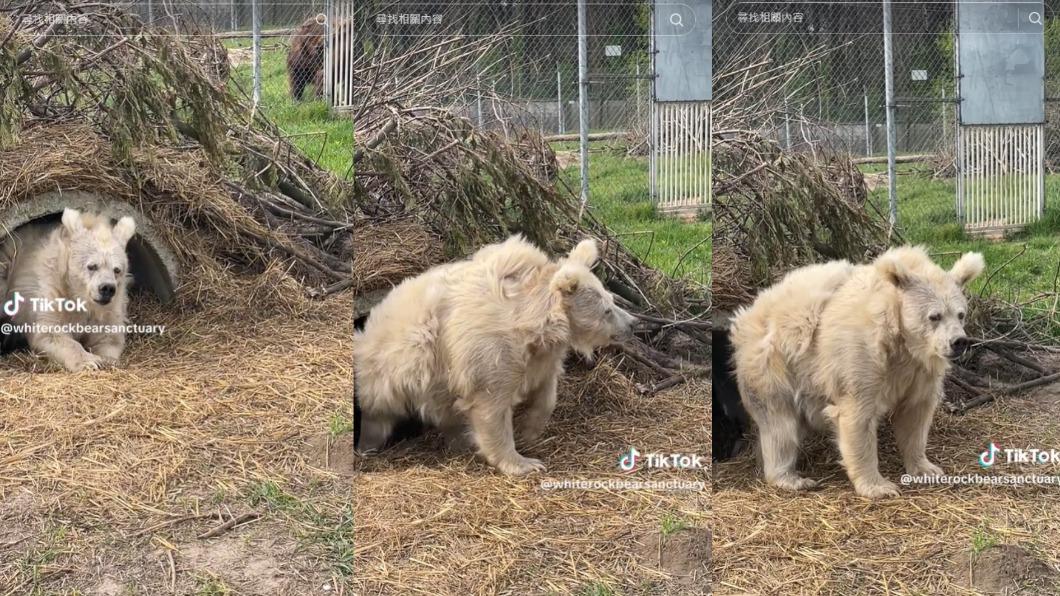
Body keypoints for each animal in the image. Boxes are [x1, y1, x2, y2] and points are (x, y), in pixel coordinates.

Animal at [0, 208, 136, 372]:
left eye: (117, 269)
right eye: (92, 266)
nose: (107, 288)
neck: (78, 295)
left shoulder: (109, 308)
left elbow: (108, 337)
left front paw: (106, 360)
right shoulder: (53, 292)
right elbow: (51, 333)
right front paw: (90, 362)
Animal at [353, 235, 636, 475]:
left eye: (612, 300)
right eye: (607, 310)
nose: (633, 323)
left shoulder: (540, 355)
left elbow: (546, 389)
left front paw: (529, 429)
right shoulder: (489, 349)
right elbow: (491, 405)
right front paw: (524, 462)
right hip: (389, 373)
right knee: (377, 418)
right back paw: (367, 447)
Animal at [728, 246, 985, 498]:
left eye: (960, 314)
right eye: (934, 316)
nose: (959, 342)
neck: (900, 341)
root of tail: (747, 314)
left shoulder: (919, 371)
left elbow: (915, 414)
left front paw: (927, 469)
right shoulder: (861, 357)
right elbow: (857, 416)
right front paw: (879, 487)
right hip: (773, 366)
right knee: (780, 426)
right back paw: (791, 478)